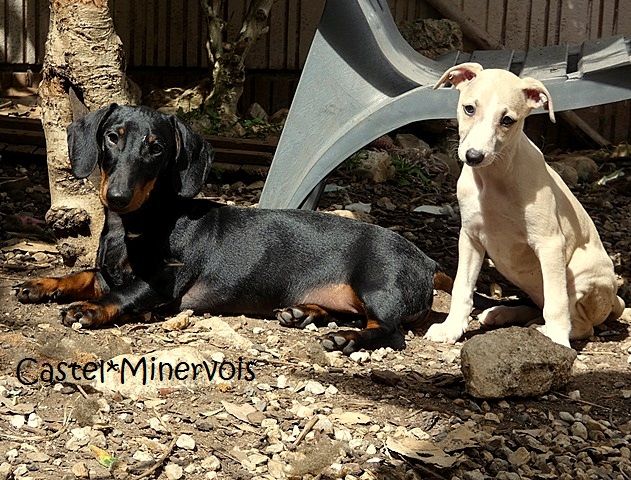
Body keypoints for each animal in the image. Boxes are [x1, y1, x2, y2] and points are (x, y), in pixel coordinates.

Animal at [428, 64, 624, 348]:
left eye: (507, 120)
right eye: (469, 108)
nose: (474, 156)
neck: (494, 179)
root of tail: (614, 302)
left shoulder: (550, 243)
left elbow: (556, 302)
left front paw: (556, 339)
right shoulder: (470, 238)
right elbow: (461, 287)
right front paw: (451, 328)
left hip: (580, 271)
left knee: (580, 324)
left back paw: (545, 330)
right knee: (536, 305)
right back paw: (501, 313)